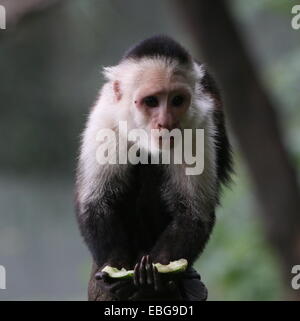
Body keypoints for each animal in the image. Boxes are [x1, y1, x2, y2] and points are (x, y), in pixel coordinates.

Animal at [74, 35, 232, 300]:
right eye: (151, 101)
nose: (165, 122)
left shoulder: (199, 124)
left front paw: (154, 276)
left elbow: (193, 212)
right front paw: (116, 267)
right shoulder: (105, 118)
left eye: (177, 100)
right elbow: (97, 200)